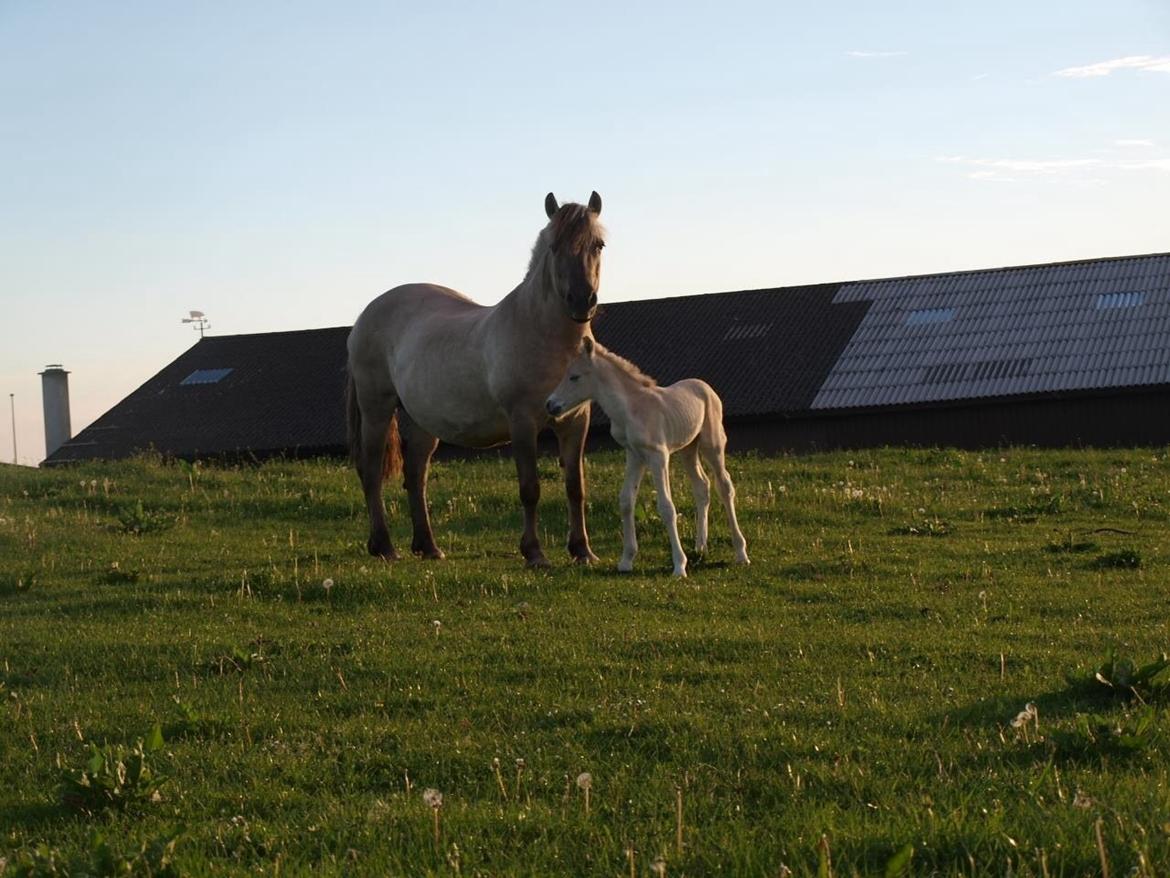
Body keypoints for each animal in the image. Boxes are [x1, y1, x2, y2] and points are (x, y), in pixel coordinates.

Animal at [343, 190, 603, 571]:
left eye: (598, 244)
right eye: (555, 246)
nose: (582, 301)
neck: (546, 337)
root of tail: (364, 316)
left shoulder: (575, 422)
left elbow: (576, 487)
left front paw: (582, 551)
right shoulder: (522, 422)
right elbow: (530, 488)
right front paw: (534, 553)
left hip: (422, 421)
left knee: (415, 476)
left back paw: (429, 546)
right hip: (377, 409)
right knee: (373, 471)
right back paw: (384, 546)